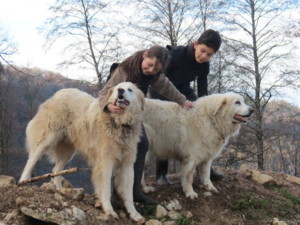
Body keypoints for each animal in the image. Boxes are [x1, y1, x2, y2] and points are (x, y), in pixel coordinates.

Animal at [18, 82, 145, 221]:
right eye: (118, 88)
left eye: (130, 90)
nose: (121, 90)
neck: (119, 123)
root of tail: (60, 93)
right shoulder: (105, 163)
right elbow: (106, 189)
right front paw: (109, 210)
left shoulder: (127, 165)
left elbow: (129, 194)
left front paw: (135, 215)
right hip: (47, 139)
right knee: (31, 161)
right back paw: (23, 181)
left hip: (67, 152)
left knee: (56, 170)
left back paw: (59, 190)